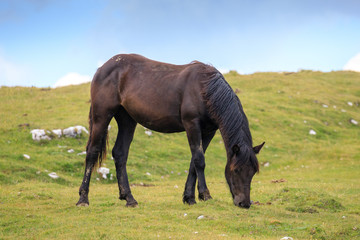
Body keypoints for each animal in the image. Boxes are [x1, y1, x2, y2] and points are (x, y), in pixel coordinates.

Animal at [76, 54, 264, 208]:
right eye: (236, 170)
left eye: (253, 172)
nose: (244, 203)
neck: (205, 89)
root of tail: (103, 68)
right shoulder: (192, 124)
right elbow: (199, 160)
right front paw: (204, 195)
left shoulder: (209, 131)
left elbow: (193, 162)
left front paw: (189, 197)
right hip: (102, 116)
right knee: (92, 152)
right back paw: (83, 199)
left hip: (127, 120)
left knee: (120, 154)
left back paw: (129, 198)